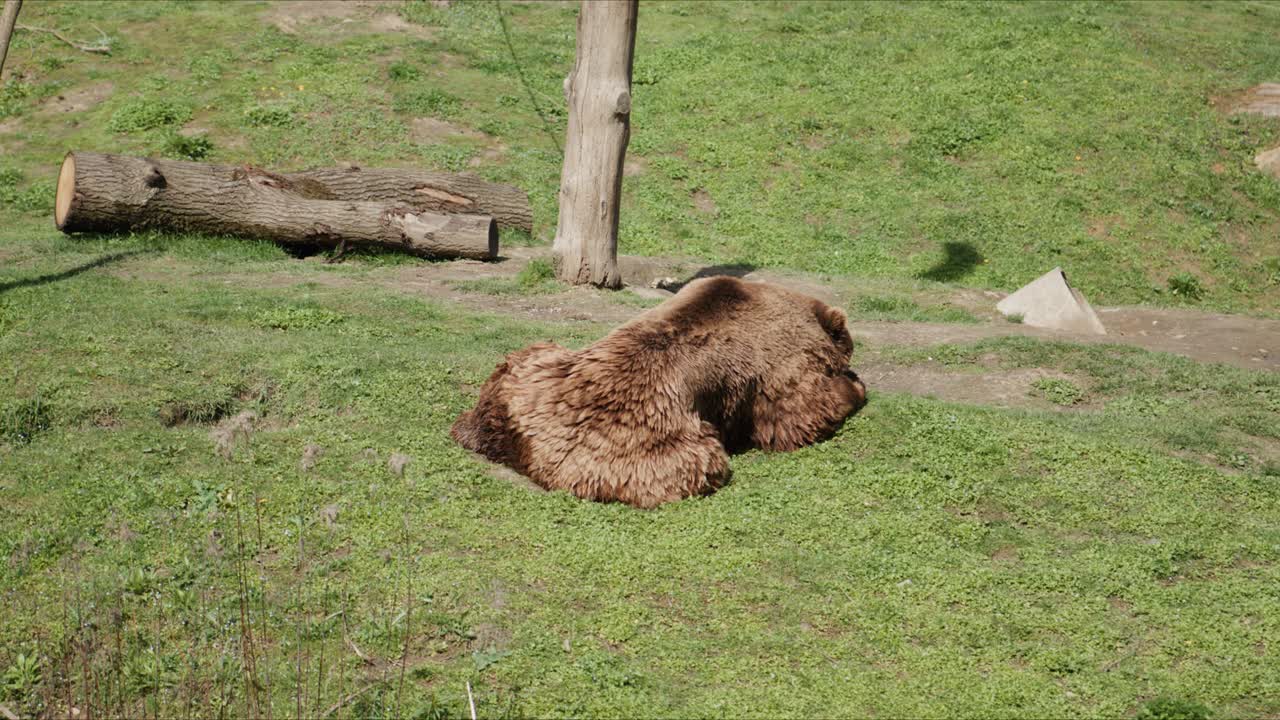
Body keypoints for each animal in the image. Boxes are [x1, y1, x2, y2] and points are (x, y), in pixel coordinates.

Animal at [450, 276, 867, 508]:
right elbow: (799, 415)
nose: (851, 357)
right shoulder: (779, 367)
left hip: (530, 366)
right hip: (655, 444)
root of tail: (528, 451)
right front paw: (855, 386)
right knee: (700, 463)